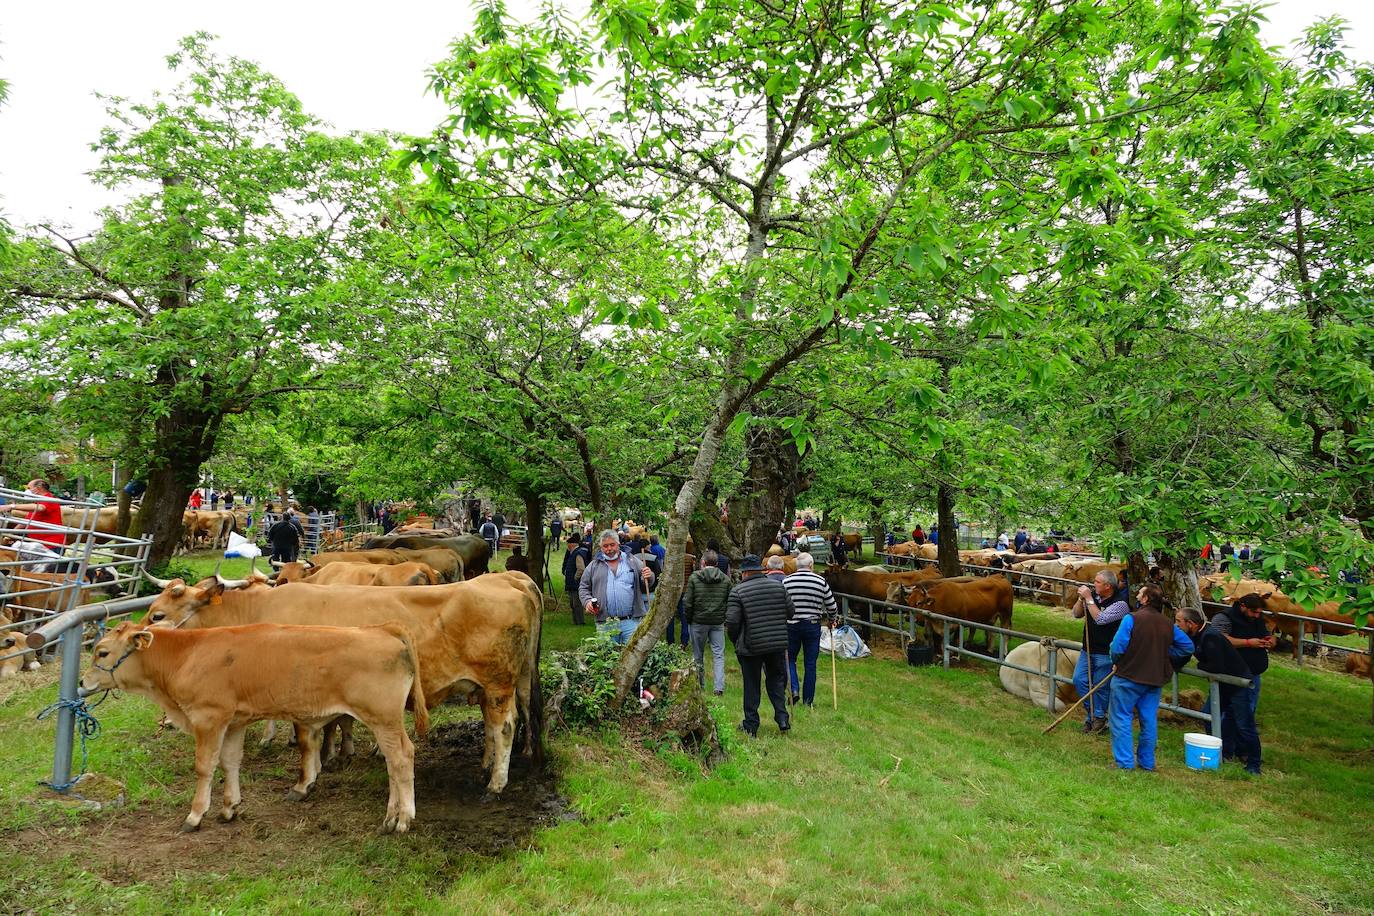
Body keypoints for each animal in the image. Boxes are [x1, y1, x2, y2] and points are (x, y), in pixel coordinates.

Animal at [83, 620, 425, 834]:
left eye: (102, 652)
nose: (83, 682)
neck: (188, 654)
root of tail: (382, 629)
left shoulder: (209, 718)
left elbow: (205, 767)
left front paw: (195, 815)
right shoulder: (234, 722)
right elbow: (230, 762)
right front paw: (229, 808)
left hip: (383, 718)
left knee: (401, 759)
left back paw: (402, 818)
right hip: (384, 721)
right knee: (394, 763)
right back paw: (391, 816)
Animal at [142, 565, 541, 796]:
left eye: (157, 615)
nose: (135, 641)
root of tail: (510, 580)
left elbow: (308, 737)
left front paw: (305, 780)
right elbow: (329, 726)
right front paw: (330, 759)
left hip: (498, 682)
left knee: (504, 727)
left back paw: (496, 784)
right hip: (512, 680)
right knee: (508, 719)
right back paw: (497, 764)